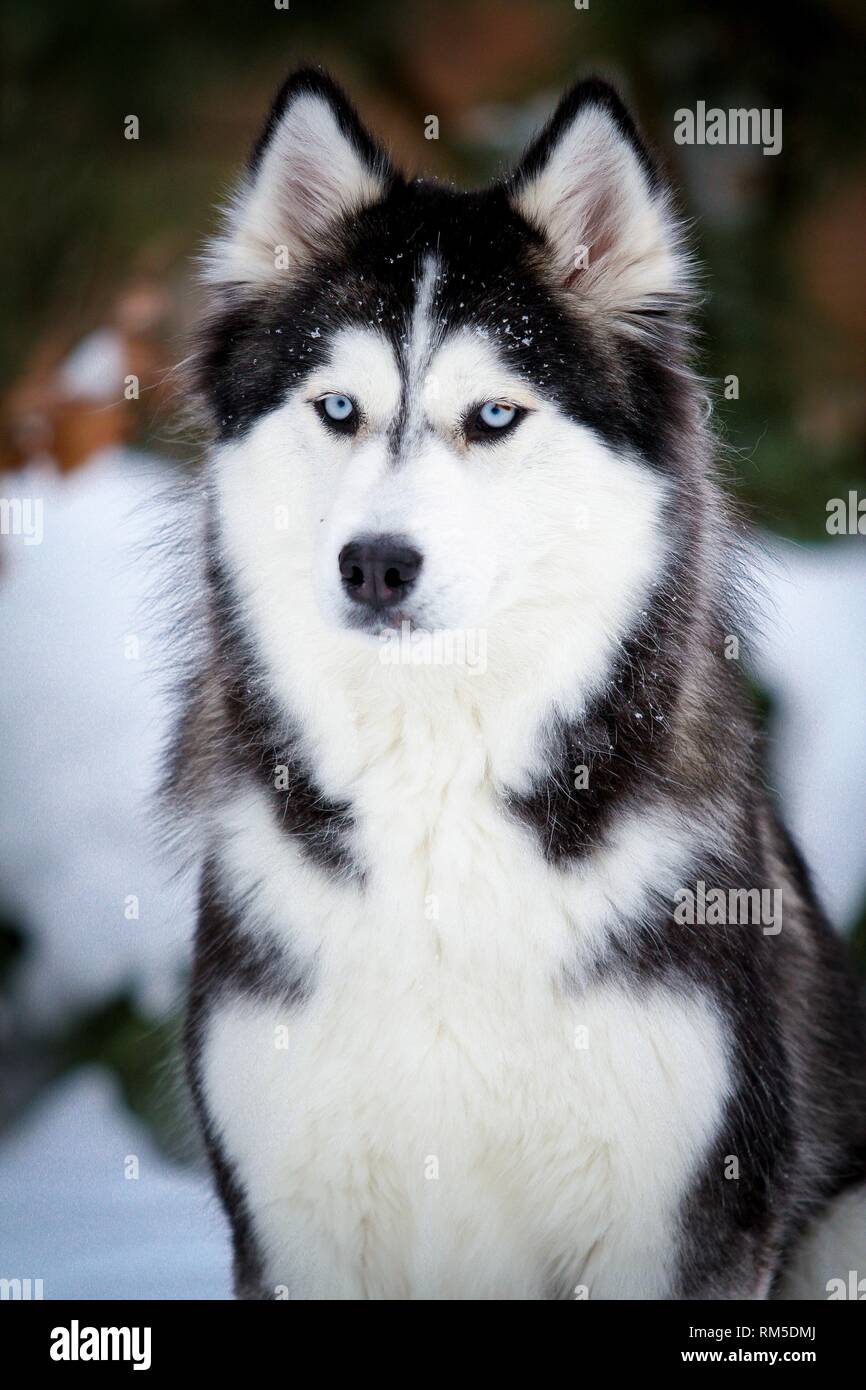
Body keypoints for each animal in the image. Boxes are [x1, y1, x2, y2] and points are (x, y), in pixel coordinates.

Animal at [174, 70, 866, 1295]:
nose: (374, 563)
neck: (437, 803)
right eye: (337, 408)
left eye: (493, 415)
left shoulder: (679, 1212)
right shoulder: (292, 1214)